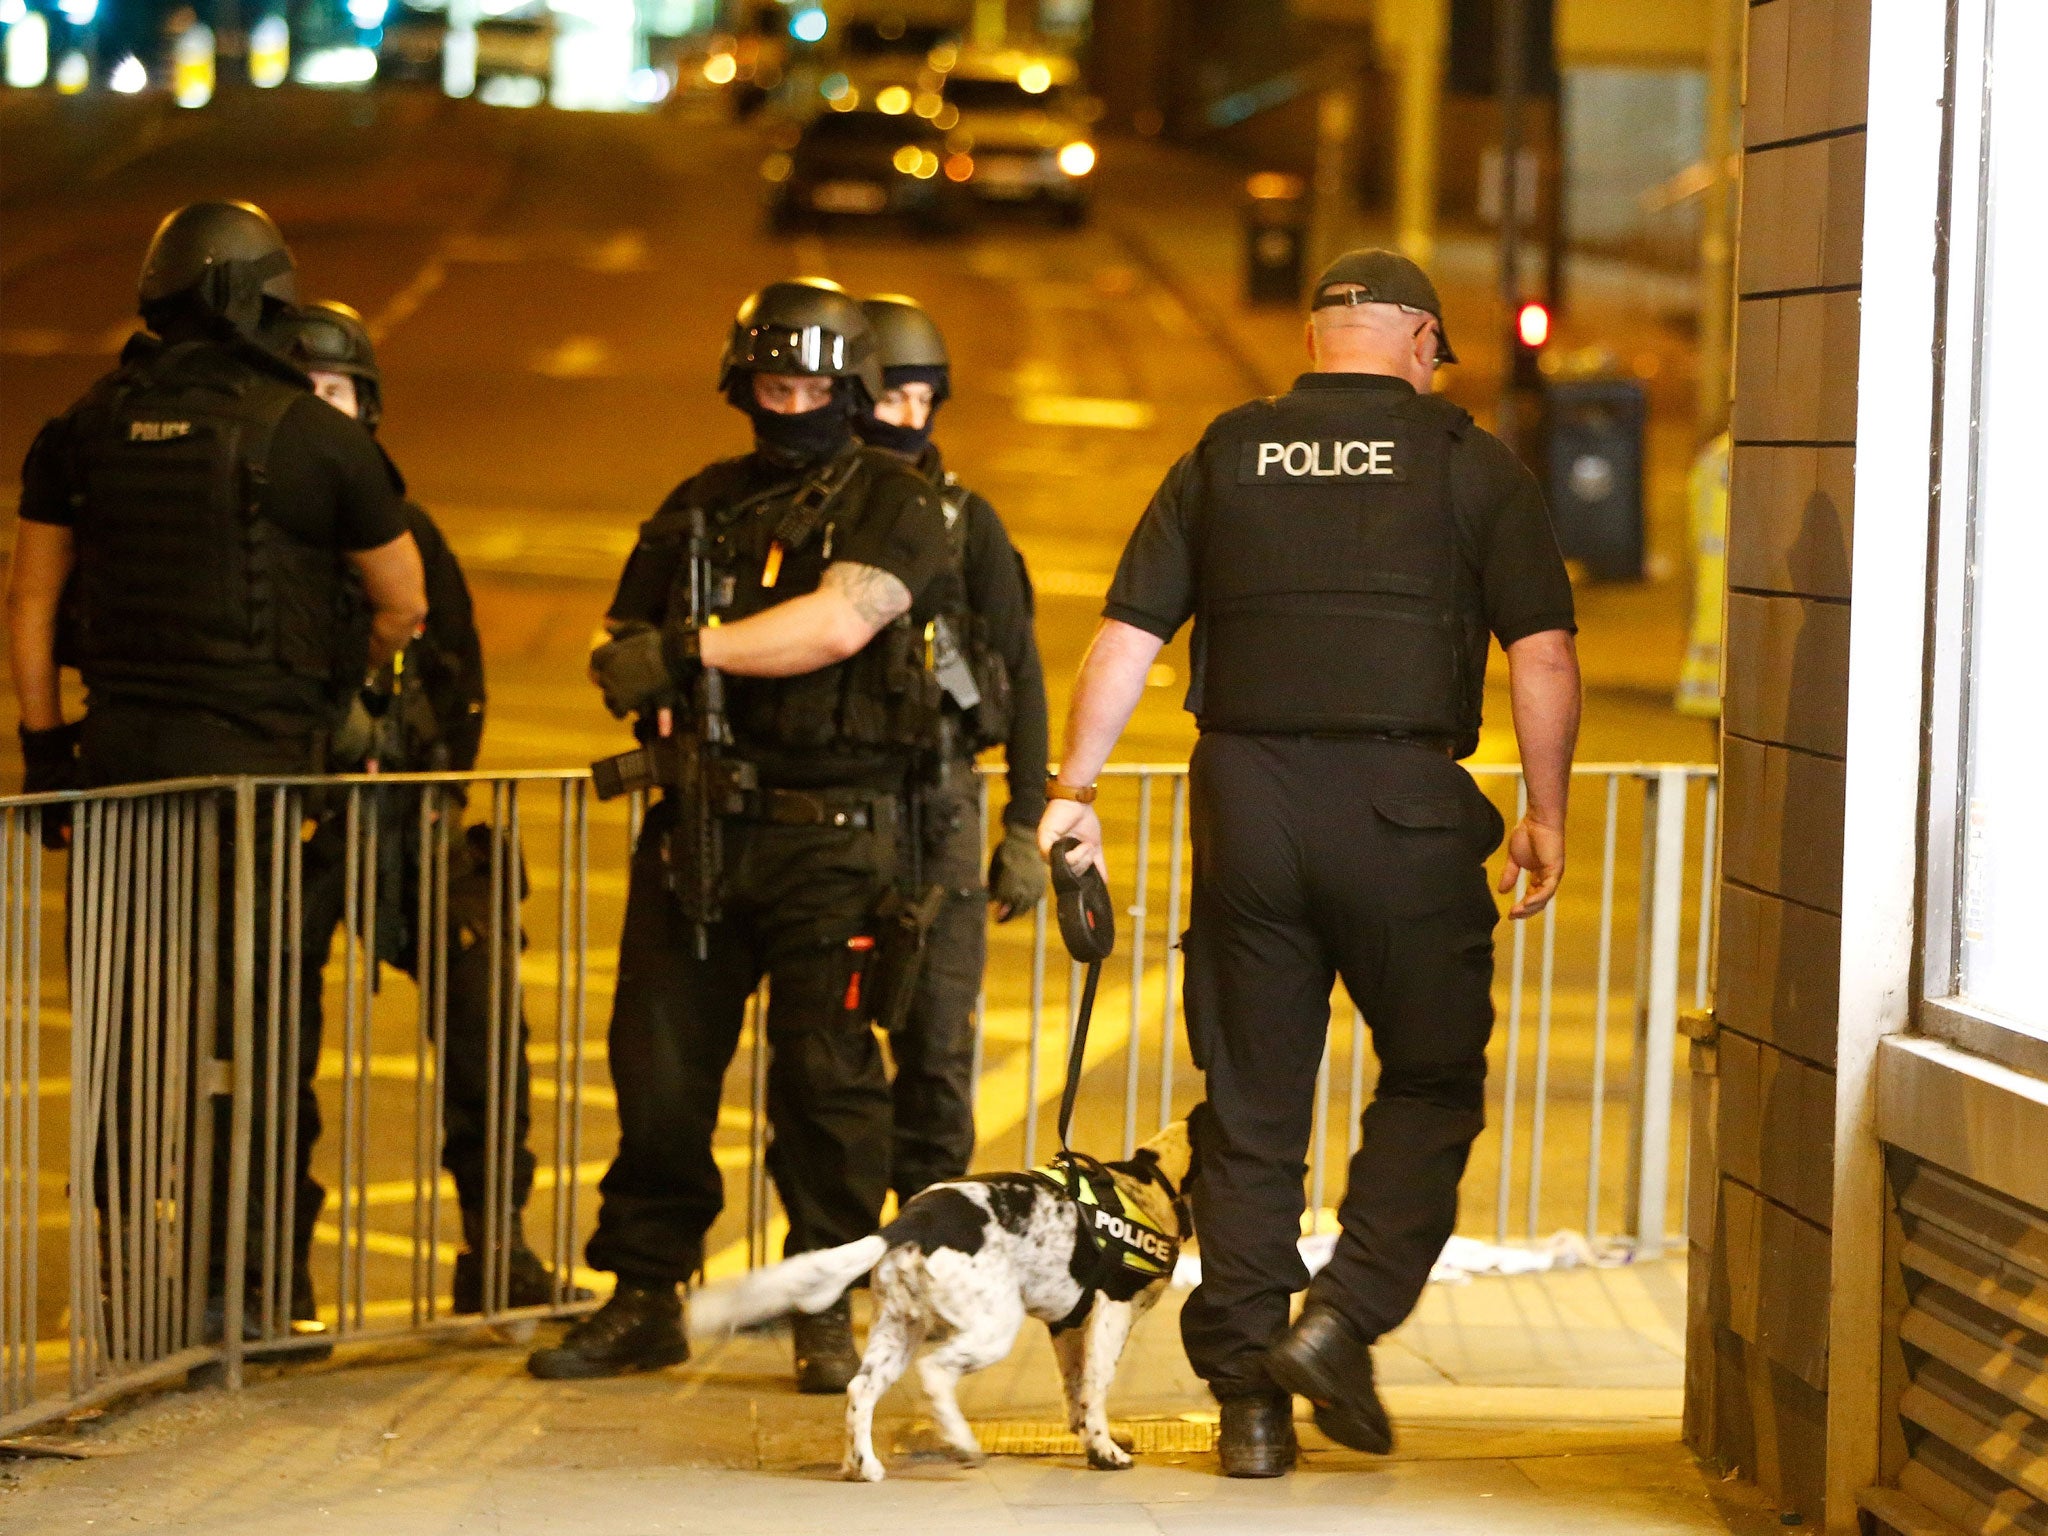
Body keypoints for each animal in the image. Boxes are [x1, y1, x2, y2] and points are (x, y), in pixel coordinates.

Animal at [696, 1122, 1196, 1482]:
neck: (1156, 1185)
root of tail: (912, 1221)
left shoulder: (1067, 1325)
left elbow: (1075, 1390)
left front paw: (1089, 1442)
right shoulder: (1113, 1312)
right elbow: (1095, 1390)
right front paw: (1105, 1450)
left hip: (899, 1328)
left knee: (860, 1389)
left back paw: (862, 1465)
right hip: (993, 1328)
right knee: (934, 1373)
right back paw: (962, 1444)